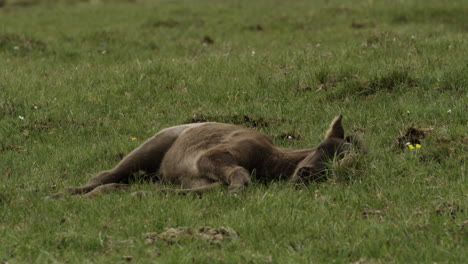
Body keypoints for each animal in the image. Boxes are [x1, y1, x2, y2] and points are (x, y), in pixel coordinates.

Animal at [48, 114, 362, 198]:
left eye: (339, 169)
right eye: (321, 147)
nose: (305, 174)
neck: (267, 161)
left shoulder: (200, 180)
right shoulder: (213, 156)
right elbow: (238, 174)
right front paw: (237, 190)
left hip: (151, 172)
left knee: (115, 182)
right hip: (146, 151)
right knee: (105, 175)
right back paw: (59, 194)